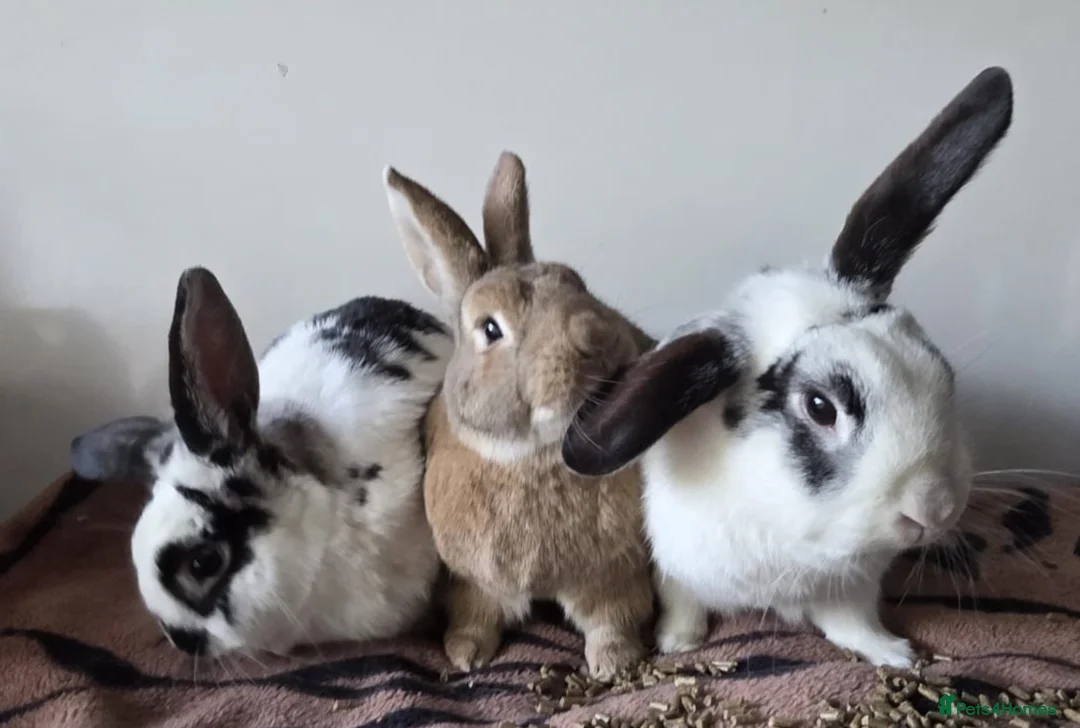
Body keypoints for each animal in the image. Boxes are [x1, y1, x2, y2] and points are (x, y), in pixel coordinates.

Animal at [381, 151, 657, 680]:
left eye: (577, 283)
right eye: (490, 329)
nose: (594, 340)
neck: (536, 454)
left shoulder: (612, 575)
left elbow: (613, 620)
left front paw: (614, 664)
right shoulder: (475, 580)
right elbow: (474, 615)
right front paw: (465, 654)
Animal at [560, 67, 1014, 668]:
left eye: (941, 368)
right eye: (820, 407)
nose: (934, 509)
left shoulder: (851, 585)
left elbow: (851, 624)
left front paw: (895, 654)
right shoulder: (676, 563)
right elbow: (683, 601)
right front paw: (678, 643)